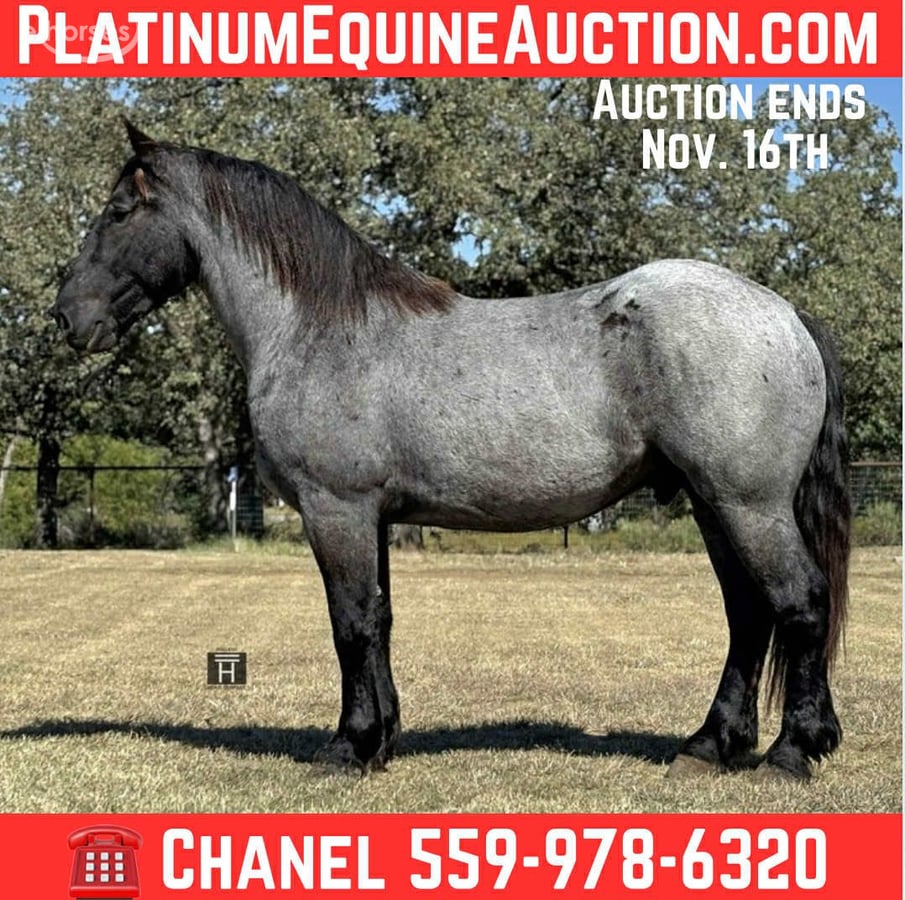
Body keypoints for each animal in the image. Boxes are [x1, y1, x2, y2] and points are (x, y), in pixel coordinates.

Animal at [52, 121, 850, 781]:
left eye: (119, 212)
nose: (67, 317)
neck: (318, 328)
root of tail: (783, 312)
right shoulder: (370, 517)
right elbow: (378, 621)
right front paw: (381, 740)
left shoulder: (335, 509)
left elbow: (350, 624)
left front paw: (347, 748)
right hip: (714, 504)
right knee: (748, 614)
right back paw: (709, 745)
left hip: (748, 504)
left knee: (799, 602)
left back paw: (790, 753)